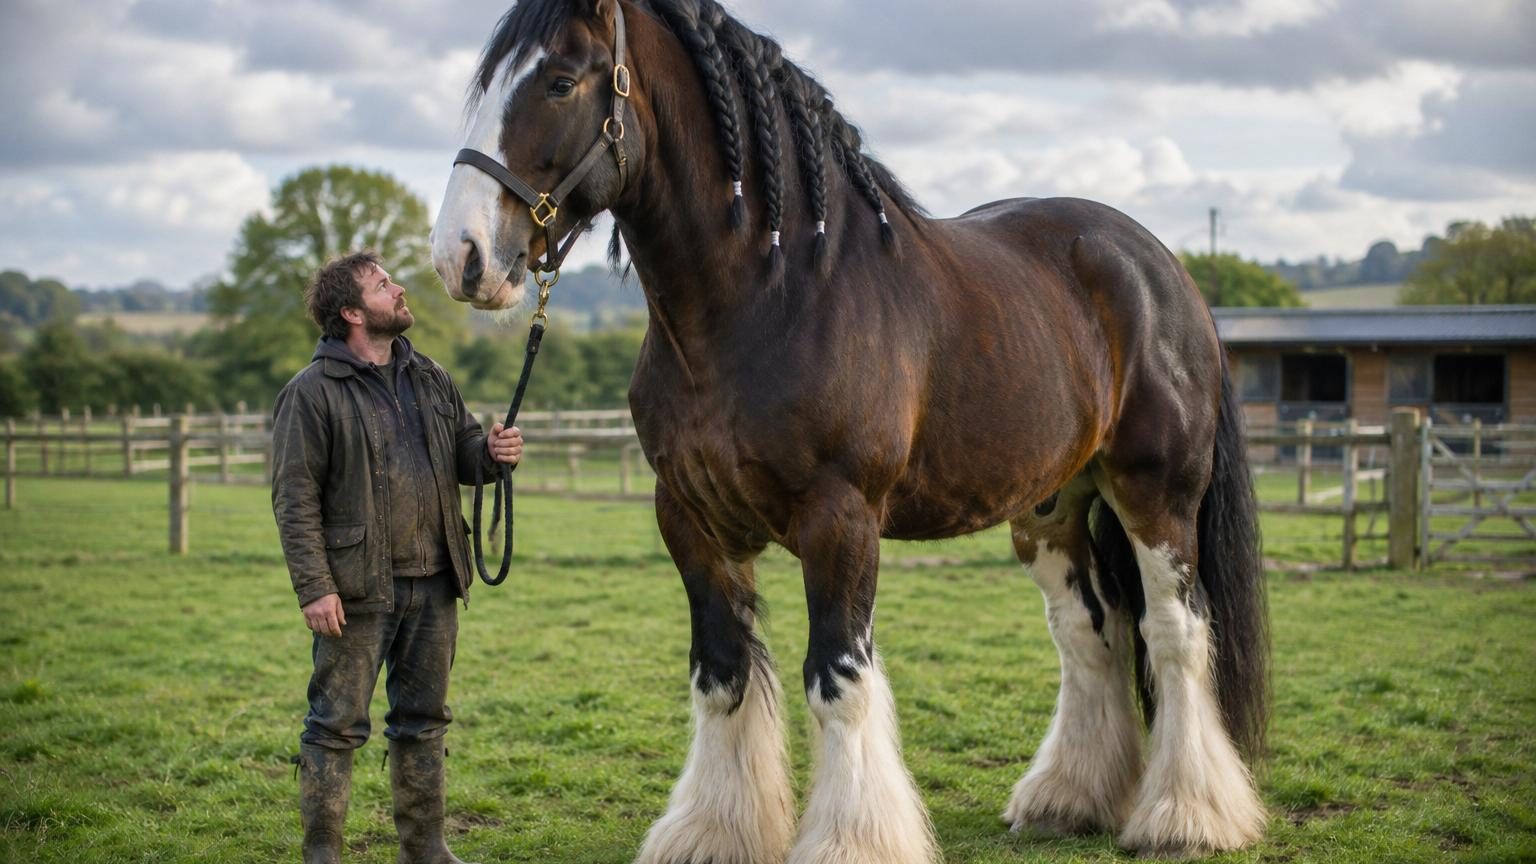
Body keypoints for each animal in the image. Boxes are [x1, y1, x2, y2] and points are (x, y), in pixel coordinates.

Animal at [429, 0, 1271, 860]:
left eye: (561, 82)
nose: (460, 257)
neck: (772, 294)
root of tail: (1162, 269)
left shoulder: (840, 519)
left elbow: (837, 678)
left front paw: (850, 839)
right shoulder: (691, 520)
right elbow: (722, 673)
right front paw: (713, 831)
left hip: (1157, 496)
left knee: (1174, 632)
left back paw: (1185, 815)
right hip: (1051, 509)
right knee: (1090, 631)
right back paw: (1068, 800)